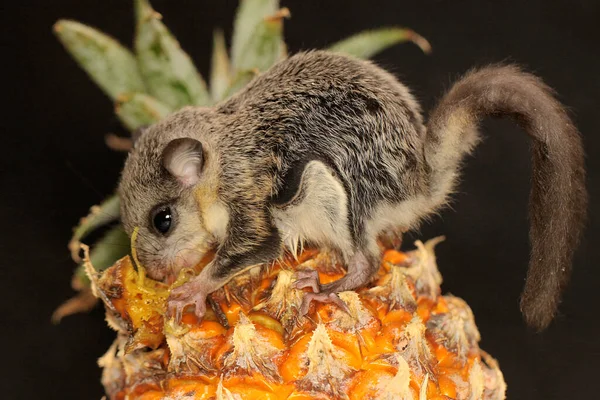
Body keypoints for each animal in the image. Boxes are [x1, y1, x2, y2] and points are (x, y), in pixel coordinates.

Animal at [117, 50, 584, 332]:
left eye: (163, 220)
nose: (154, 275)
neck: (219, 161)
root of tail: (418, 181)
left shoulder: (246, 194)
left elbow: (247, 250)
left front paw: (192, 290)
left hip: (336, 191)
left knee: (367, 264)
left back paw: (324, 289)